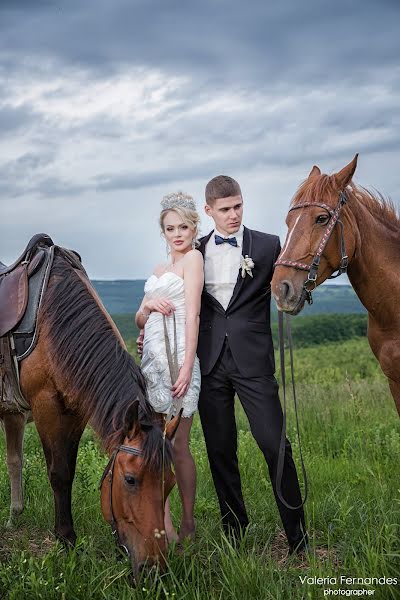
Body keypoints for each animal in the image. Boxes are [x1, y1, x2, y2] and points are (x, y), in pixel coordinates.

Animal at [0, 245, 178, 576]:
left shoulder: (76, 412)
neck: (52, 320)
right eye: (130, 480)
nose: (154, 570)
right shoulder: (46, 405)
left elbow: (66, 470)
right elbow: (59, 473)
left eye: (170, 483)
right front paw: (66, 539)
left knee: (14, 461)